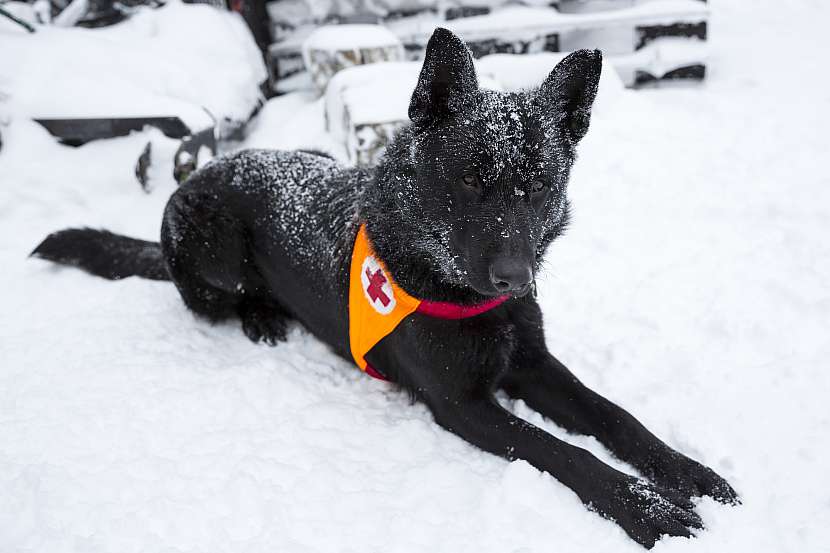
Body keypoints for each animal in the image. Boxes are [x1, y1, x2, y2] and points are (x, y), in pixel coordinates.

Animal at [32, 27, 736, 548]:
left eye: (537, 188)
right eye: (470, 180)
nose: (516, 279)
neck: (452, 284)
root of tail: (204, 171)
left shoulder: (536, 368)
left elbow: (616, 418)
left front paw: (687, 473)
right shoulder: (462, 406)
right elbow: (566, 453)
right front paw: (648, 509)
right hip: (214, 250)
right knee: (221, 299)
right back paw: (262, 318)